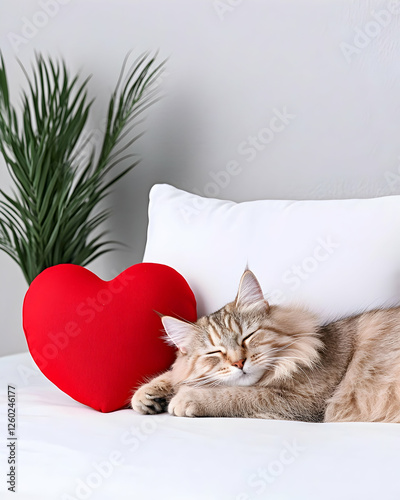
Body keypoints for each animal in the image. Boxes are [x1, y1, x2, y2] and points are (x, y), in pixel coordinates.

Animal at [130, 270, 400, 422]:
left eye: (247, 337)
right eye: (215, 352)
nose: (239, 362)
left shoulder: (303, 401)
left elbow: (236, 394)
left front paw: (185, 398)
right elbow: (177, 375)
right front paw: (148, 395)